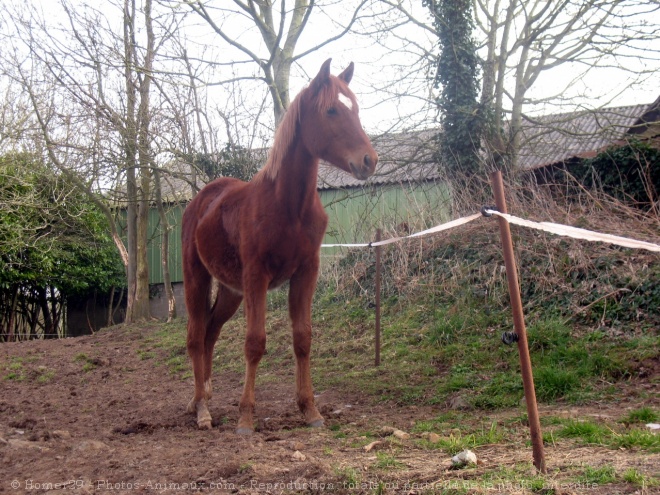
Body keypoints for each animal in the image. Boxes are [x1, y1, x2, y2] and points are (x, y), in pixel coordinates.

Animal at [182, 60, 376, 434]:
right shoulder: (257, 276)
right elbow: (255, 342)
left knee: (211, 332)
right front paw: (246, 417)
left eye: (357, 109)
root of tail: (201, 200)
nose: (369, 161)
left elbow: (303, 338)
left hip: (231, 290)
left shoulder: (306, 272)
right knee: (196, 336)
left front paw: (310, 410)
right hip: (197, 279)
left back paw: (207, 395)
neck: (289, 207)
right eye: (331, 110)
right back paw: (201, 408)